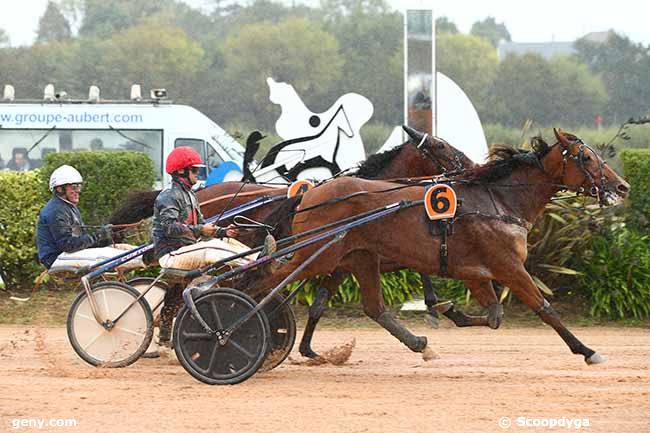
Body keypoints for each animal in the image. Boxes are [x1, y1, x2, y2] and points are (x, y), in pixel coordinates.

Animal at [239, 129, 628, 364]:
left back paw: (419, 344)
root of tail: (309, 194)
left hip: (357, 257)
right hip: (317, 255)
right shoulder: (509, 267)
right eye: (587, 158)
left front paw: (448, 309)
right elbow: (545, 308)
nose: (622, 187)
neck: (498, 201)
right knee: (265, 279)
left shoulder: (475, 271)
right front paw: (586, 349)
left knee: (373, 307)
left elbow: (494, 316)